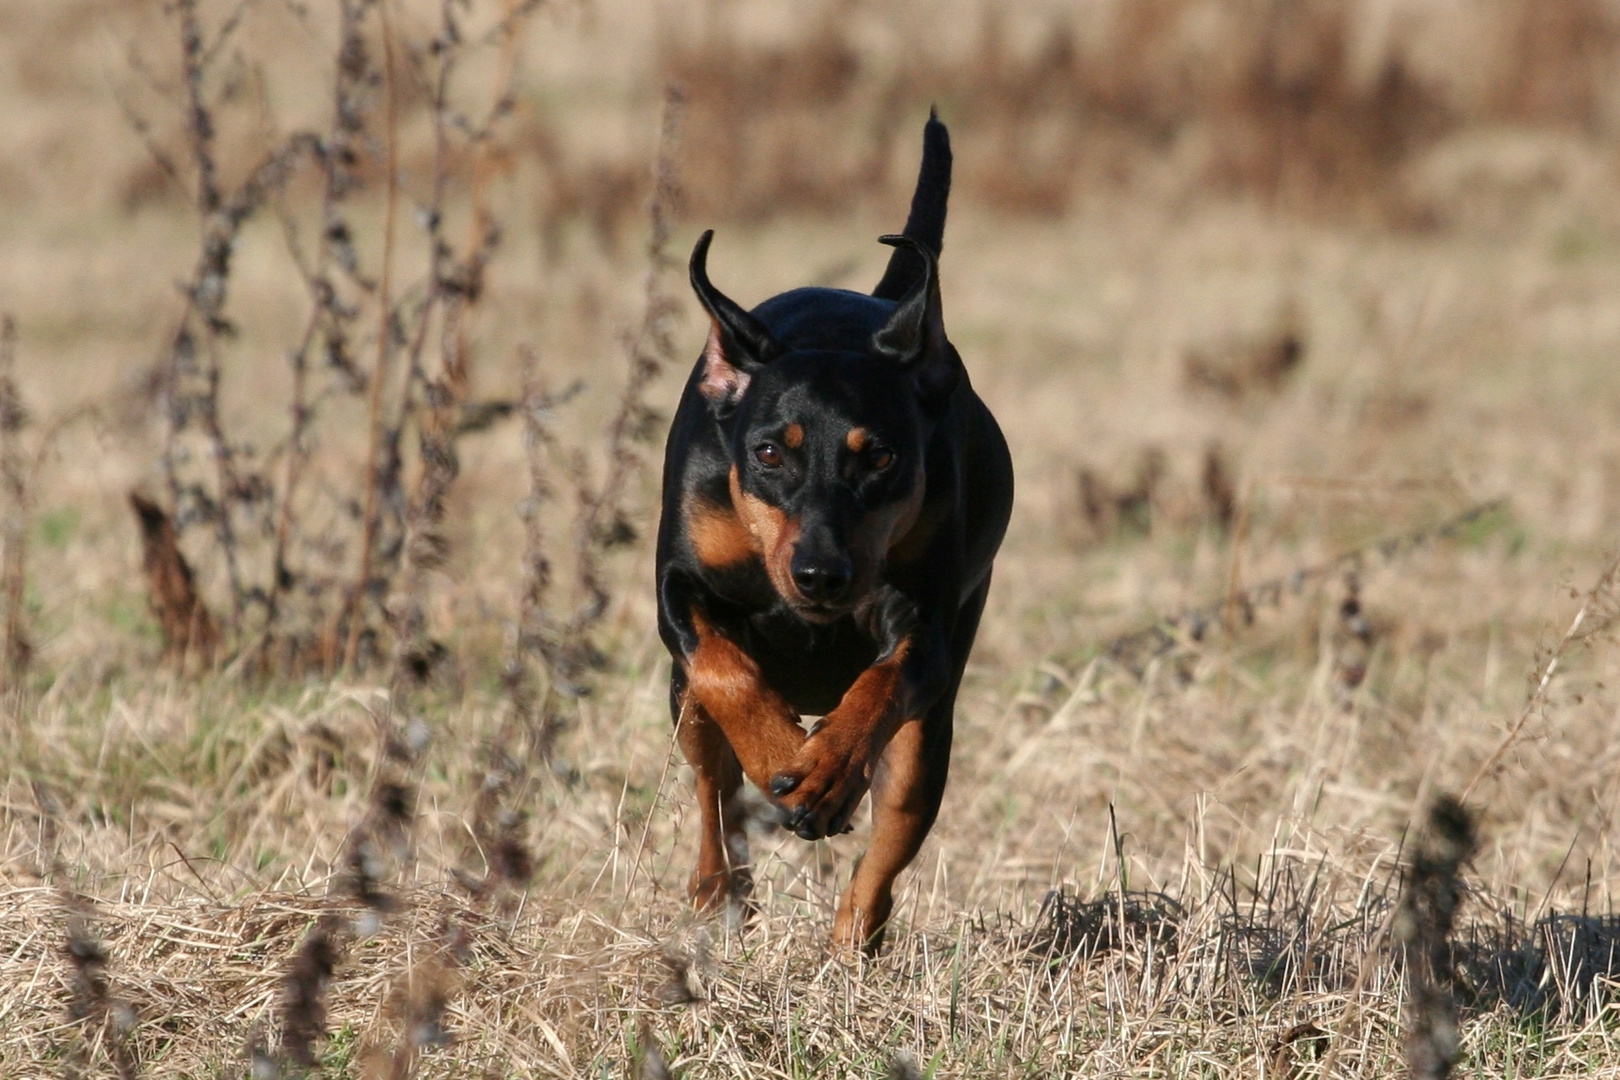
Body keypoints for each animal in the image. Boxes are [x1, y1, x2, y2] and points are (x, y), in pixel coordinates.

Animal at [648, 111, 1004, 952]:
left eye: (880, 456)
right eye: (768, 452)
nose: (820, 575)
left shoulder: (925, 623)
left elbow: (883, 681)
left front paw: (825, 770)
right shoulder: (679, 588)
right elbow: (725, 668)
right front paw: (785, 753)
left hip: (928, 734)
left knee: (892, 832)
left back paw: (850, 945)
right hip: (683, 704)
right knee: (712, 787)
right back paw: (717, 896)